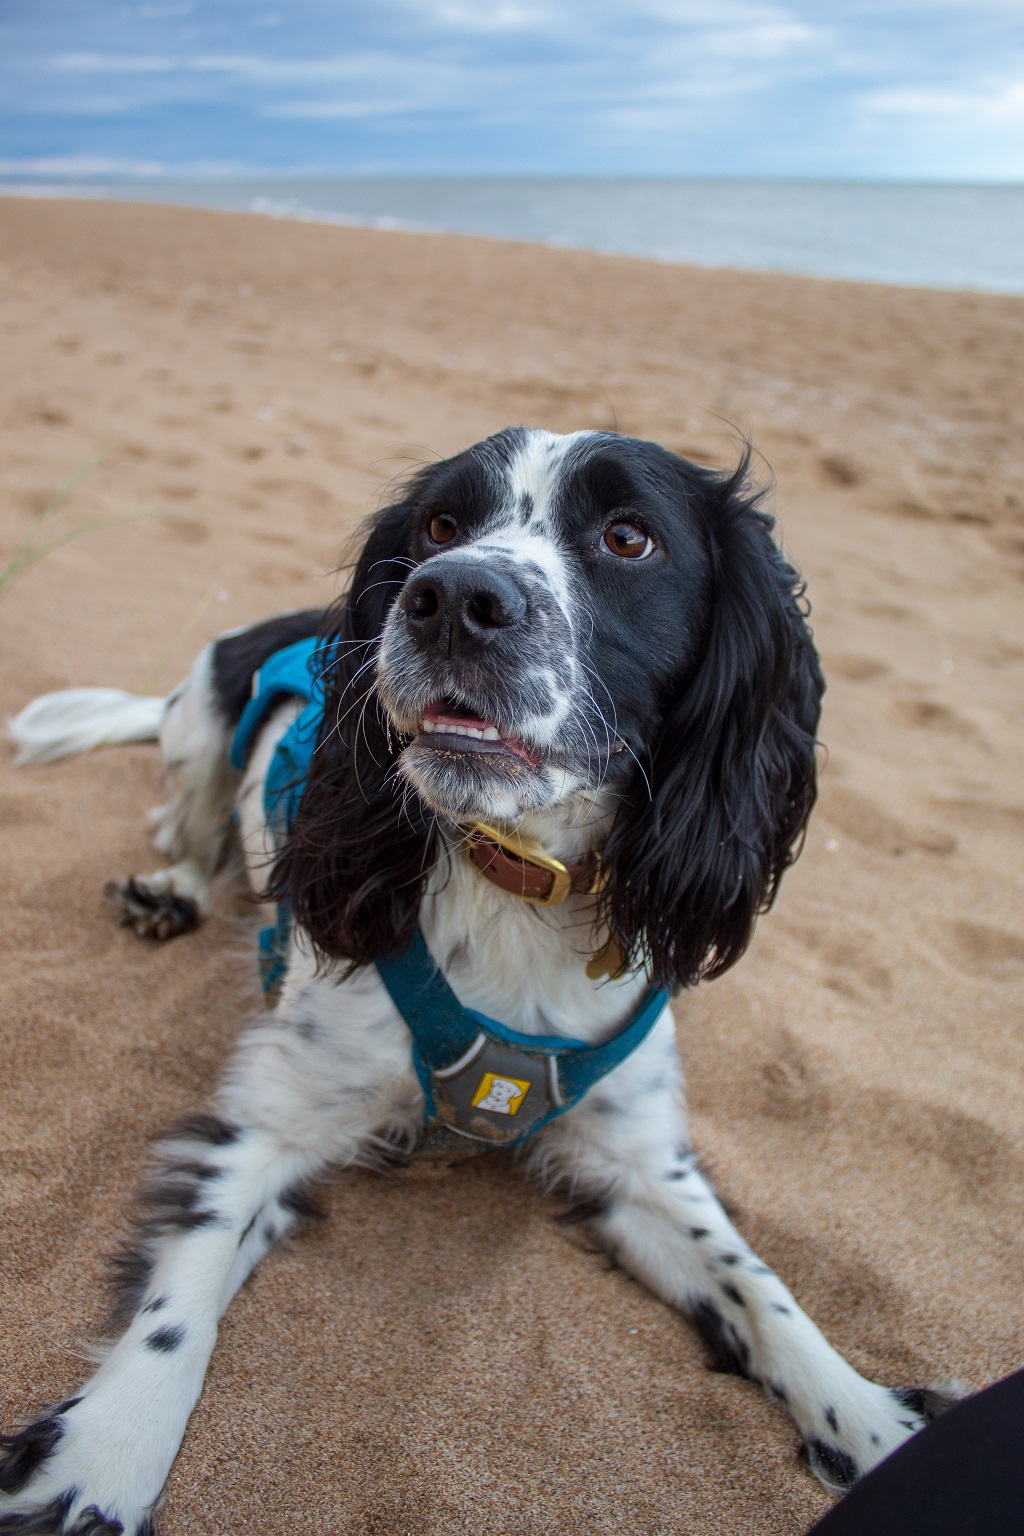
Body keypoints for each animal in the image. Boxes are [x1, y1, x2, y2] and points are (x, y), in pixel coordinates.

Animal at [0, 423, 951, 1536]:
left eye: (628, 537)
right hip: (200, 723)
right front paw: (96, 1466)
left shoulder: (639, 1165)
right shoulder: (268, 1122)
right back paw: (169, 893)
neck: (516, 879)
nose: (451, 595)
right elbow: (176, 1309)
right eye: (440, 525)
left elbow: (759, 1286)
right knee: (186, 831)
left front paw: (873, 1423)